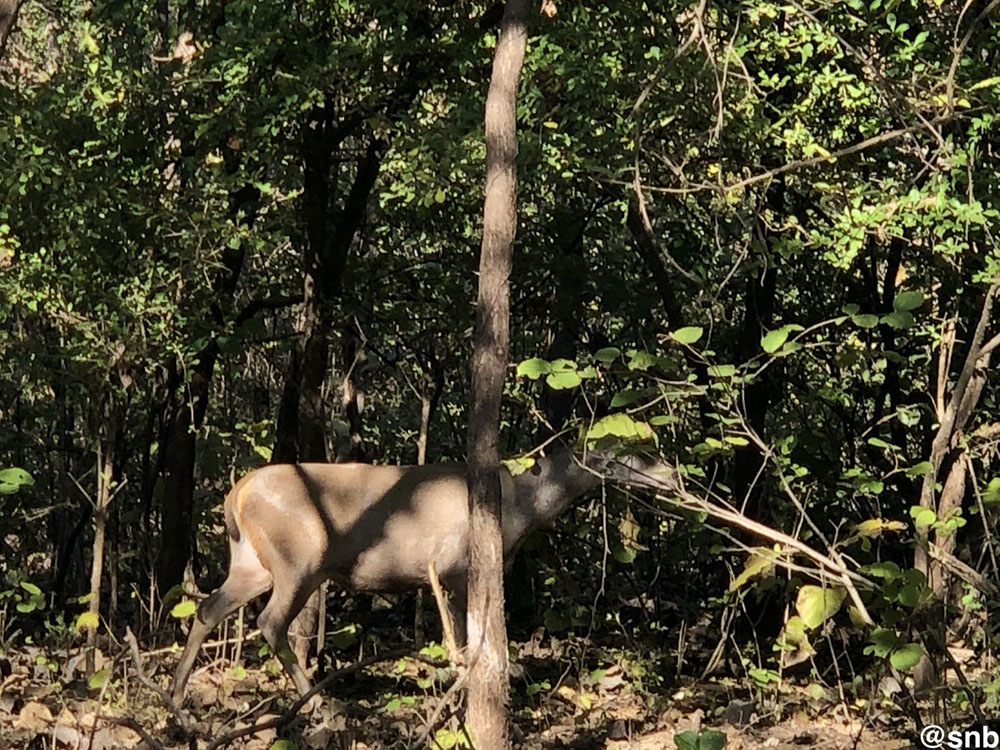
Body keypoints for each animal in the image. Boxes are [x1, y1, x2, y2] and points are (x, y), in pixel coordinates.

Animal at [172, 444, 676, 704]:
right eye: (636, 454)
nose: (673, 473)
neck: (521, 507)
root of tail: (234, 495)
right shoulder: (455, 566)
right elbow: (467, 640)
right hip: (300, 557)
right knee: (270, 621)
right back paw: (316, 702)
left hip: (252, 561)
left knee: (208, 608)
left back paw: (177, 700)